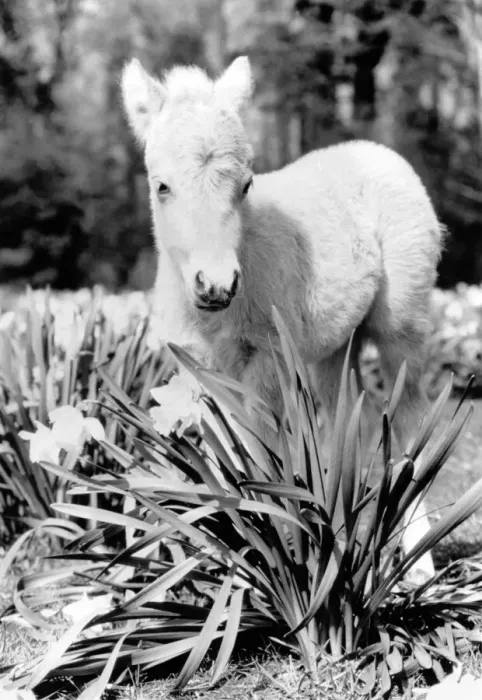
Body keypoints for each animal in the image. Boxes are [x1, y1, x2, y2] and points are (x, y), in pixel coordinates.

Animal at [121, 55, 444, 582]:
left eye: (245, 185)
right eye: (161, 185)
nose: (216, 284)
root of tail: (378, 153)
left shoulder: (267, 358)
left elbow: (255, 449)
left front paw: (273, 549)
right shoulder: (199, 368)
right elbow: (223, 451)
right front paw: (223, 562)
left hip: (402, 325)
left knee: (410, 419)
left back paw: (416, 560)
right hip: (335, 345)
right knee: (346, 417)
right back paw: (339, 530)